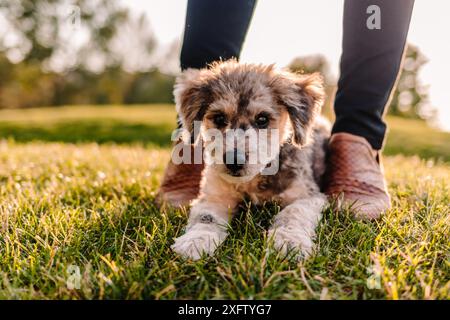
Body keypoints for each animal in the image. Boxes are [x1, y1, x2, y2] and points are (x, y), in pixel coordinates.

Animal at [171, 60, 328, 260]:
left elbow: (294, 213)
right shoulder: (215, 195)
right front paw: (195, 241)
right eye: (219, 118)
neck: (252, 181)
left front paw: (290, 242)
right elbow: (206, 216)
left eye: (262, 119)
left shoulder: (307, 195)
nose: (233, 161)